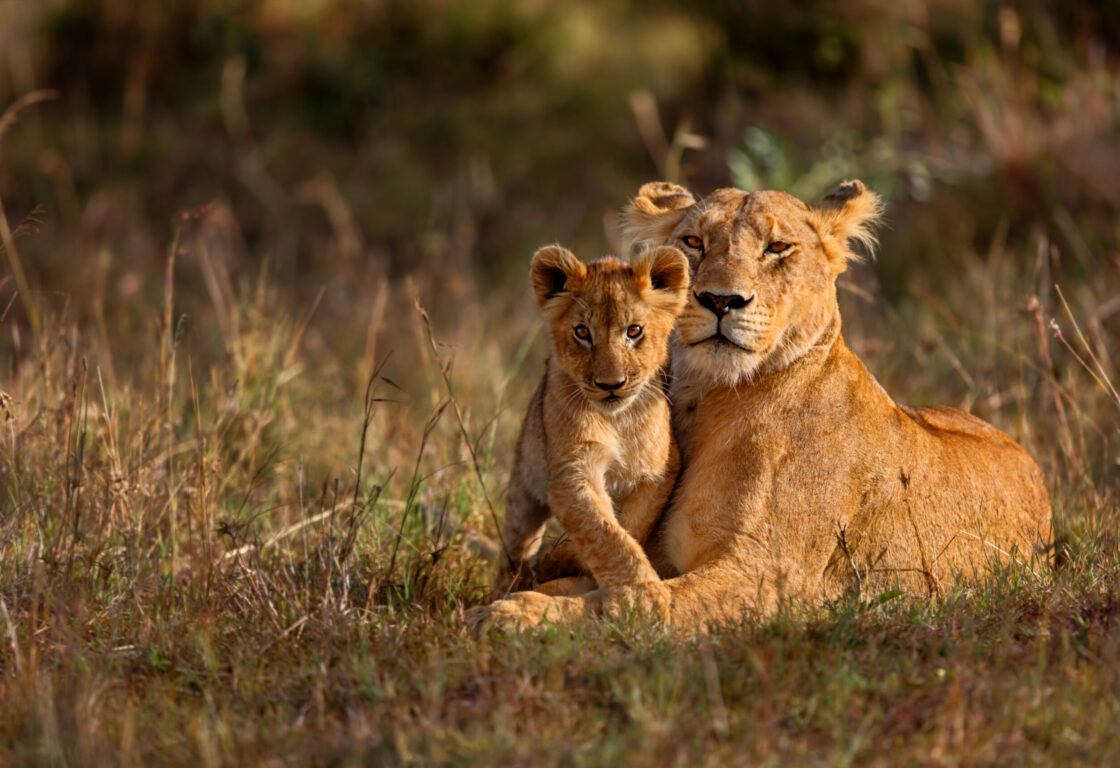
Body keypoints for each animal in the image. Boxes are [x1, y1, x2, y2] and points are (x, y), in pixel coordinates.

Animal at [491, 243, 690, 600]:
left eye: (634, 331)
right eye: (582, 332)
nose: (611, 384)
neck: (618, 420)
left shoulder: (660, 470)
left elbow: (629, 527)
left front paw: (565, 558)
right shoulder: (572, 473)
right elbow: (605, 534)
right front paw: (643, 596)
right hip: (523, 490)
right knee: (515, 544)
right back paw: (508, 584)